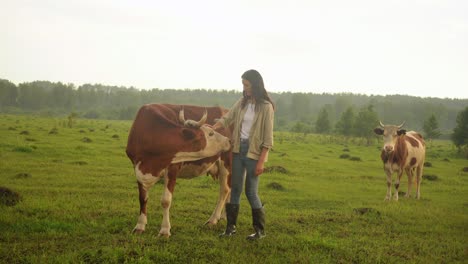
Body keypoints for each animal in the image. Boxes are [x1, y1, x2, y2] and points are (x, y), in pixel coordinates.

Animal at [126, 103, 232, 237]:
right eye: (211, 133)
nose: (228, 140)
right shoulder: (137, 168)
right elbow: (142, 198)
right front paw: (140, 226)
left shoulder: (172, 168)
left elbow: (166, 200)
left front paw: (165, 230)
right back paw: (224, 216)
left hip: (227, 162)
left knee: (225, 190)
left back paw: (213, 220)